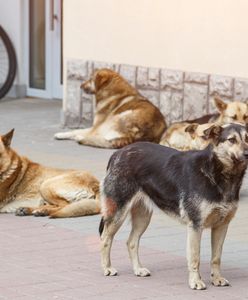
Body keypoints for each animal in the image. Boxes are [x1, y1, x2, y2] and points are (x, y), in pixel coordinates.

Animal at [99, 123, 248, 290]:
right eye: (231, 140)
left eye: (247, 138)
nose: (247, 154)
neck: (216, 173)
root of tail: (117, 153)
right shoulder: (195, 226)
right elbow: (195, 257)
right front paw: (195, 281)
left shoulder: (221, 226)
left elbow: (216, 258)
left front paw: (217, 279)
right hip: (118, 213)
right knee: (105, 238)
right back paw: (107, 268)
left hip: (143, 217)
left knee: (131, 241)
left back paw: (138, 269)